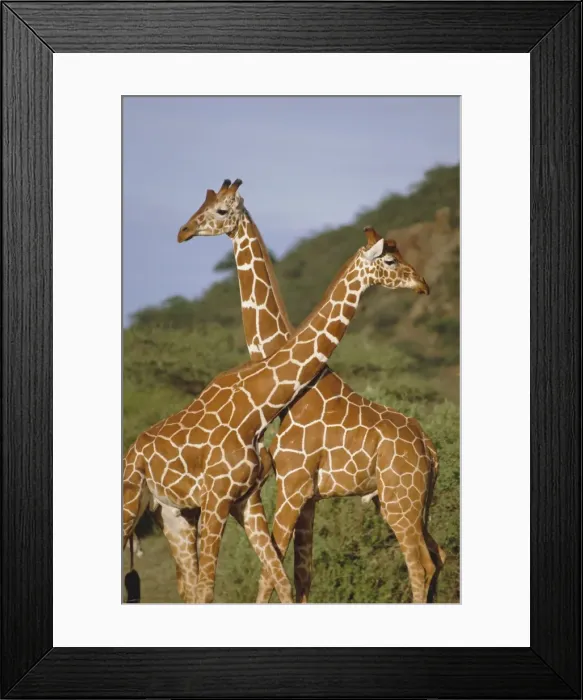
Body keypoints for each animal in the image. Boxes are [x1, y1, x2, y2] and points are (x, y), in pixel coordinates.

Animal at [177, 179, 446, 604]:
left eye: (220, 210)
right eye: (202, 204)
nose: (183, 231)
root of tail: (430, 450)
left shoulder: (291, 483)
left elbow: (271, 572)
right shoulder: (308, 496)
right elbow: (301, 573)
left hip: (398, 501)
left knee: (421, 564)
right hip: (414, 502)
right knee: (440, 555)